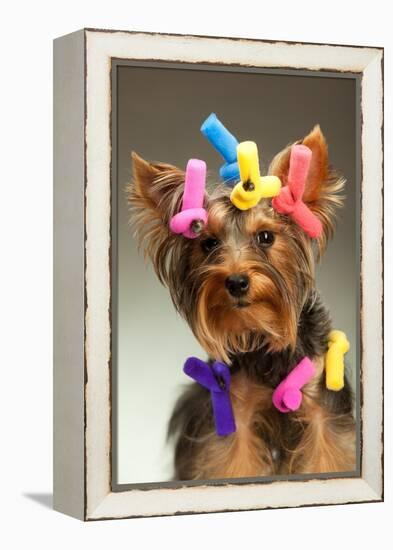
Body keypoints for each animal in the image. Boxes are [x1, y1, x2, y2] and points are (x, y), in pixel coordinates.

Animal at [128, 126, 356, 484]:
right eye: (209, 243)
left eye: (265, 237)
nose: (236, 281)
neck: (263, 332)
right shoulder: (236, 410)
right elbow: (235, 458)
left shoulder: (322, 410)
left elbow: (326, 453)